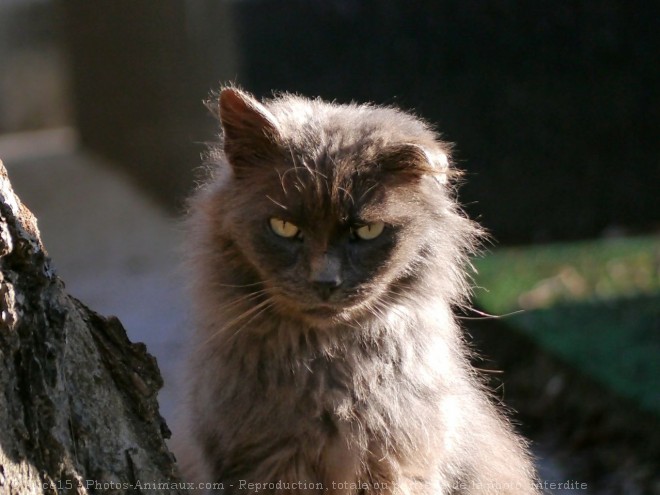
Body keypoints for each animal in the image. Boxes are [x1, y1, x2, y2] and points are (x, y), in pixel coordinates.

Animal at [178, 87, 540, 494]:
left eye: (367, 231)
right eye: (284, 227)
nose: (325, 281)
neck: (328, 374)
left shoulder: (398, 464)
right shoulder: (266, 462)